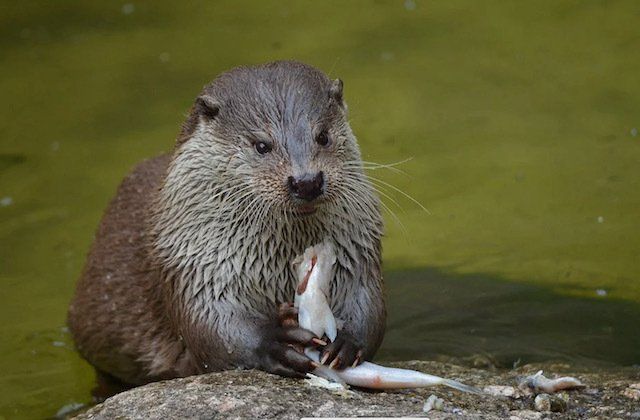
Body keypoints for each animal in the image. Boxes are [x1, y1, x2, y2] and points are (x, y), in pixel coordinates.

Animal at [68, 61, 385, 387]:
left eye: (322, 136)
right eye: (261, 145)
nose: (306, 181)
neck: (277, 263)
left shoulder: (357, 249)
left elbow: (368, 302)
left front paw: (348, 341)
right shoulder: (193, 262)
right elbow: (213, 328)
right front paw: (274, 340)